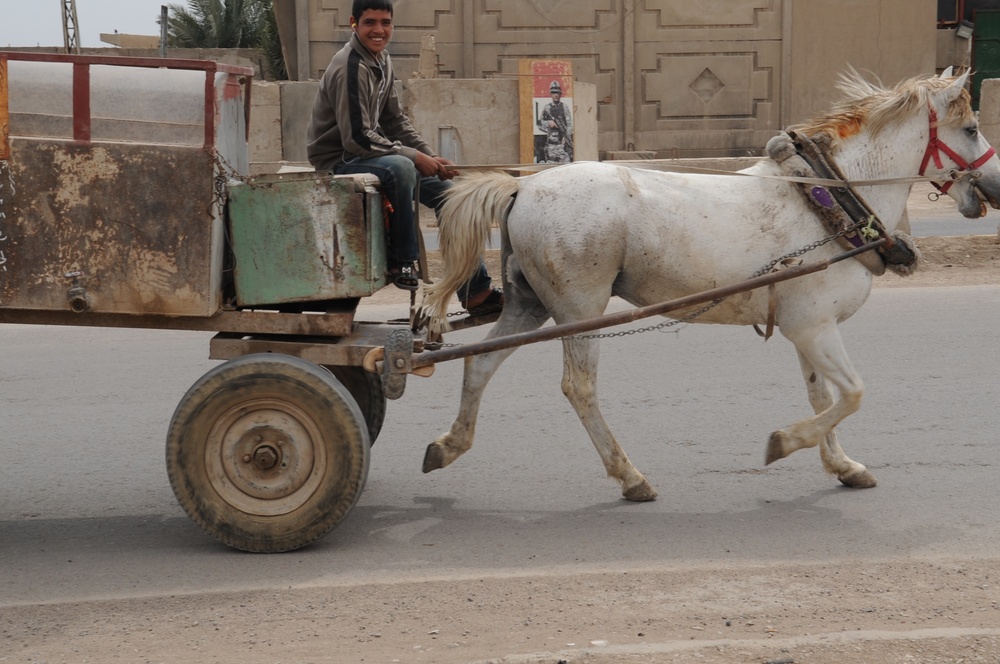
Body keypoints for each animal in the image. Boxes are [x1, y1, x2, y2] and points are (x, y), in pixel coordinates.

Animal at [420, 70, 1000, 500]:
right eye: (972, 128)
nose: (995, 185)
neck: (829, 199)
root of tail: (522, 186)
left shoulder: (807, 326)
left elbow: (822, 396)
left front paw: (842, 465)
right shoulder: (814, 326)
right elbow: (852, 393)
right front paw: (784, 442)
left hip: (529, 302)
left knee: (481, 364)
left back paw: (449, 444)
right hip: (579, 306)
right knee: (578, 387)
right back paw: (630, 476)